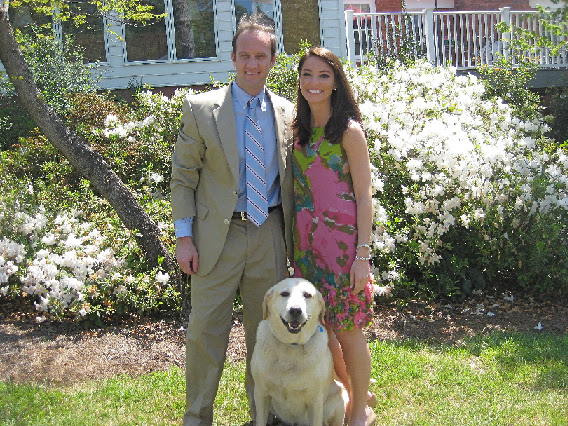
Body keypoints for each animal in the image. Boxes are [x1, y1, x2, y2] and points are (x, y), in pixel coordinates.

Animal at [251, 278, 347, 426]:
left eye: (307, 295)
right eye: (284, 294)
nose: (295, 310)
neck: (291, 345)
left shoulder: (315, 400)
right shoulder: (261, 392)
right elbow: (261, 420)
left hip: (340, 398)